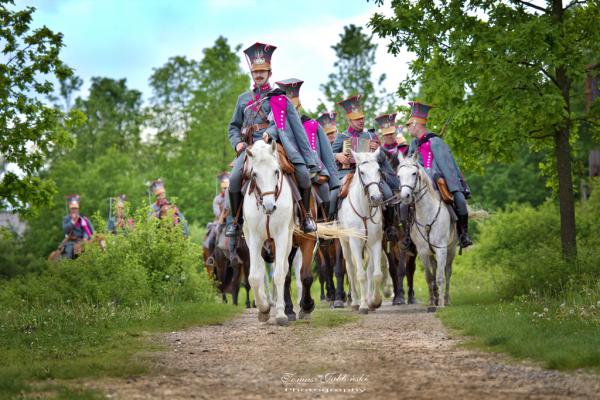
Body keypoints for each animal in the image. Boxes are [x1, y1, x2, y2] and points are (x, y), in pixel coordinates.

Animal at [240, 141, 294, 324]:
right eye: (254, 174)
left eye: (276, 171)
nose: (269, 207)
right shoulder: (255, 239)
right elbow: (254, 277)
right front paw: (263, 308)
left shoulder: (281, 236)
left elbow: (278, 274)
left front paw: (280, 314)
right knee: (260, 271)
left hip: (287, 240)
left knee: (282, 268)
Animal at [338, 148, 384, 314]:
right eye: (362, 172)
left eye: (378, 170)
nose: (376, 197)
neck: (364, 210)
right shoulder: (355, 243)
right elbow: (361, 275)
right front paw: (363, 305)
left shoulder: (375, 242)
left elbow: (376, 274)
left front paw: (375, 301)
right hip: (345, 244)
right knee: (351, 269)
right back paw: (356, 302)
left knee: (369, 269)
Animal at [396, 152, 458, 308]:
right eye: (399, 175)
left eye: (414, 173)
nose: (405, 196)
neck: (427, 215)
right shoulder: (423, 251)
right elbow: (429, 277)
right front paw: (431, 301)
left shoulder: (441, 249)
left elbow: (440, 276)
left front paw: (440, 303)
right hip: (431, 253)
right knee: (435, 269)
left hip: (451, 249)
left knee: (447, 272)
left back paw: (446, 299)